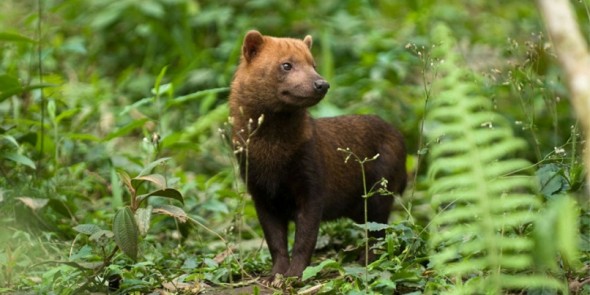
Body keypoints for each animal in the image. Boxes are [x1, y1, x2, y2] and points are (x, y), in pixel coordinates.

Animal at [229, 30, 410, 280]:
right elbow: (275, 241)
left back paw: (364, 261)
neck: (272, 158)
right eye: (286, 64)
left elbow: (305, 238)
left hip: (379, 191)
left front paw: (294, 275)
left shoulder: (311, 180)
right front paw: (275, 275)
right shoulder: (260, 192)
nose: (322, 83)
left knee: (378, 233)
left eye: (313, 64)